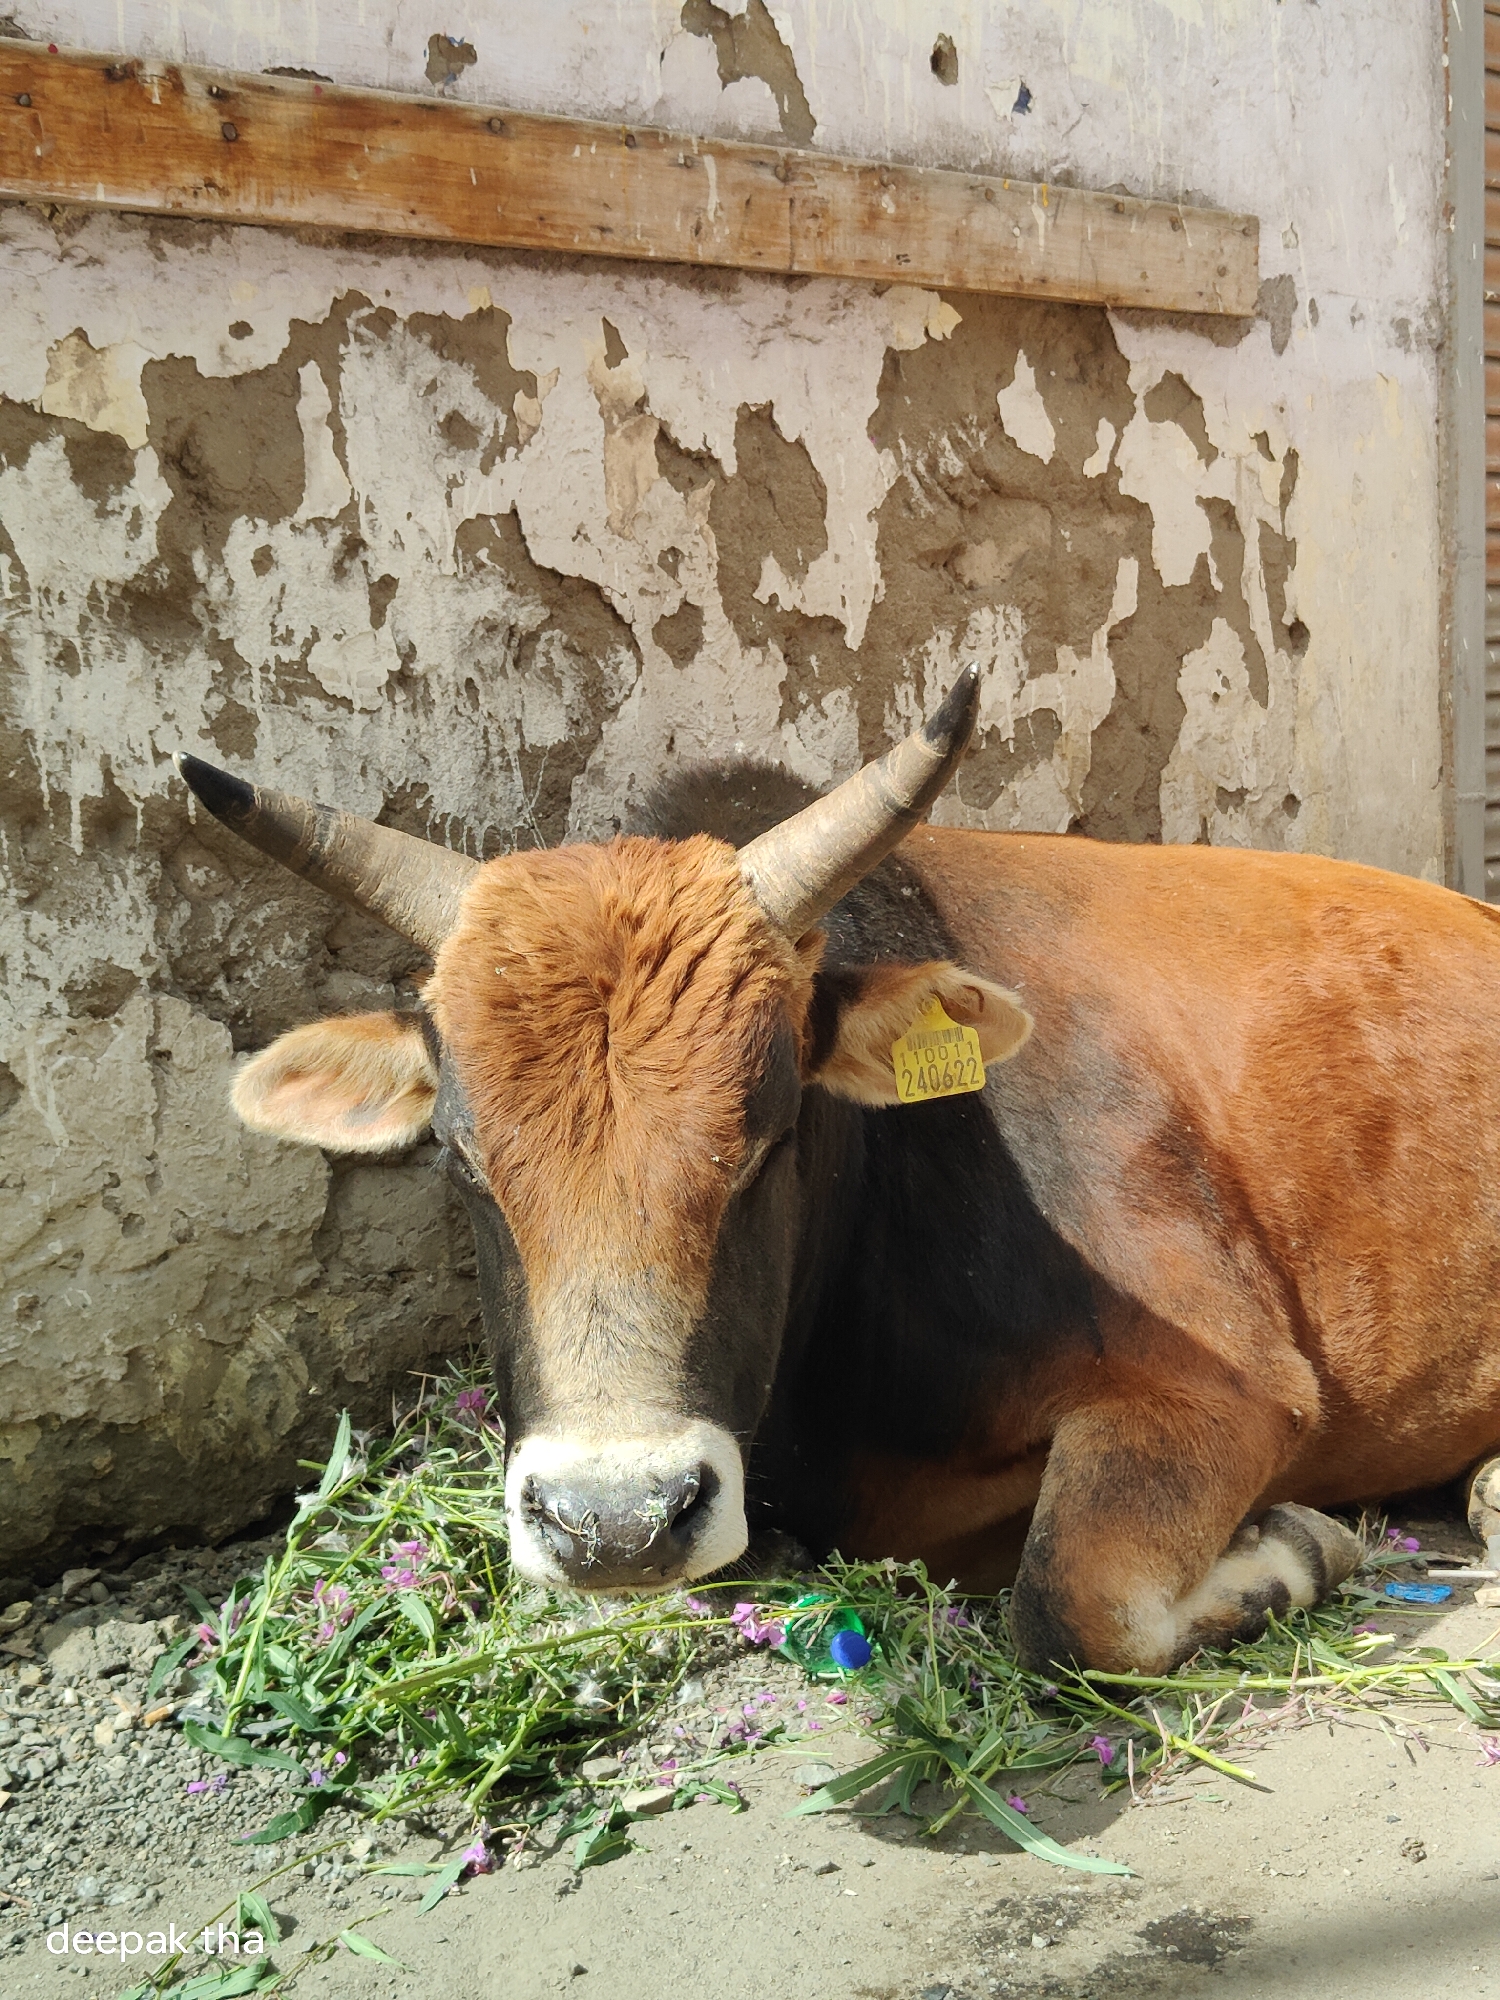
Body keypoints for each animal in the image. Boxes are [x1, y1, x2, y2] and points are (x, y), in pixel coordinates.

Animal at [174, 667, 1500, 1675]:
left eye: (771, 1134)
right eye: (459, 1155)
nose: (615, 1523)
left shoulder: (1231, 1385)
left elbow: (1075, 1603)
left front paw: (1299, 1546)